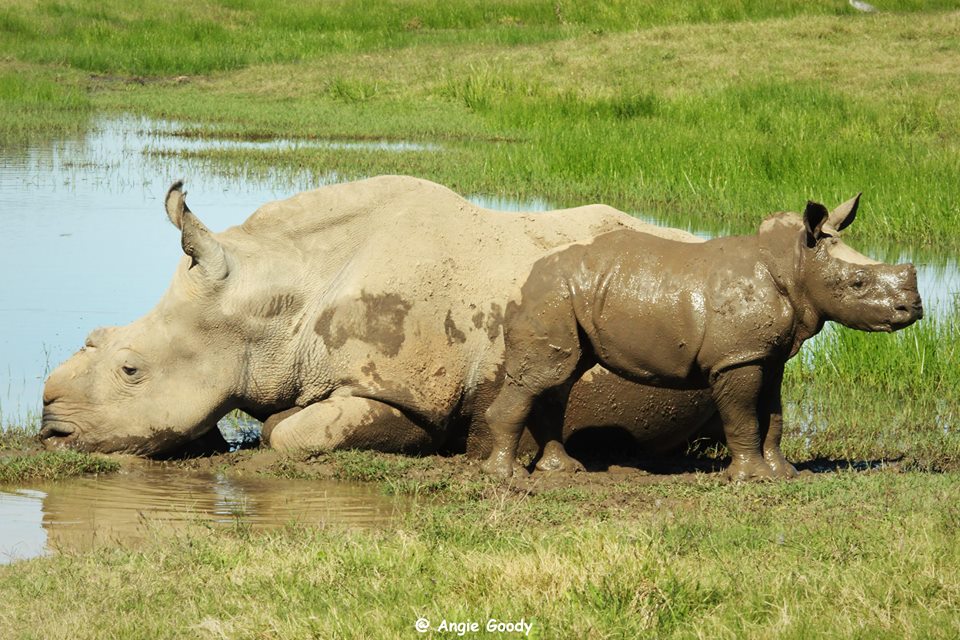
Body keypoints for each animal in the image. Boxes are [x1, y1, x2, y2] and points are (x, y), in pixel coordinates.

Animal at [484, 195, 928, 480]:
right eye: (857, 283)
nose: (914, 308)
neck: (795, 264)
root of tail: (521, 279)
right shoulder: (737, 356)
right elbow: (743, 415)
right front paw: (751, 478)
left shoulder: (766, 354)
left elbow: (774, 414)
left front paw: (784, 473)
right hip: (552, 296)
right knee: (542, 377)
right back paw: (507, 478)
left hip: (566, 296)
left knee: (560, 378)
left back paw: (563, 470)